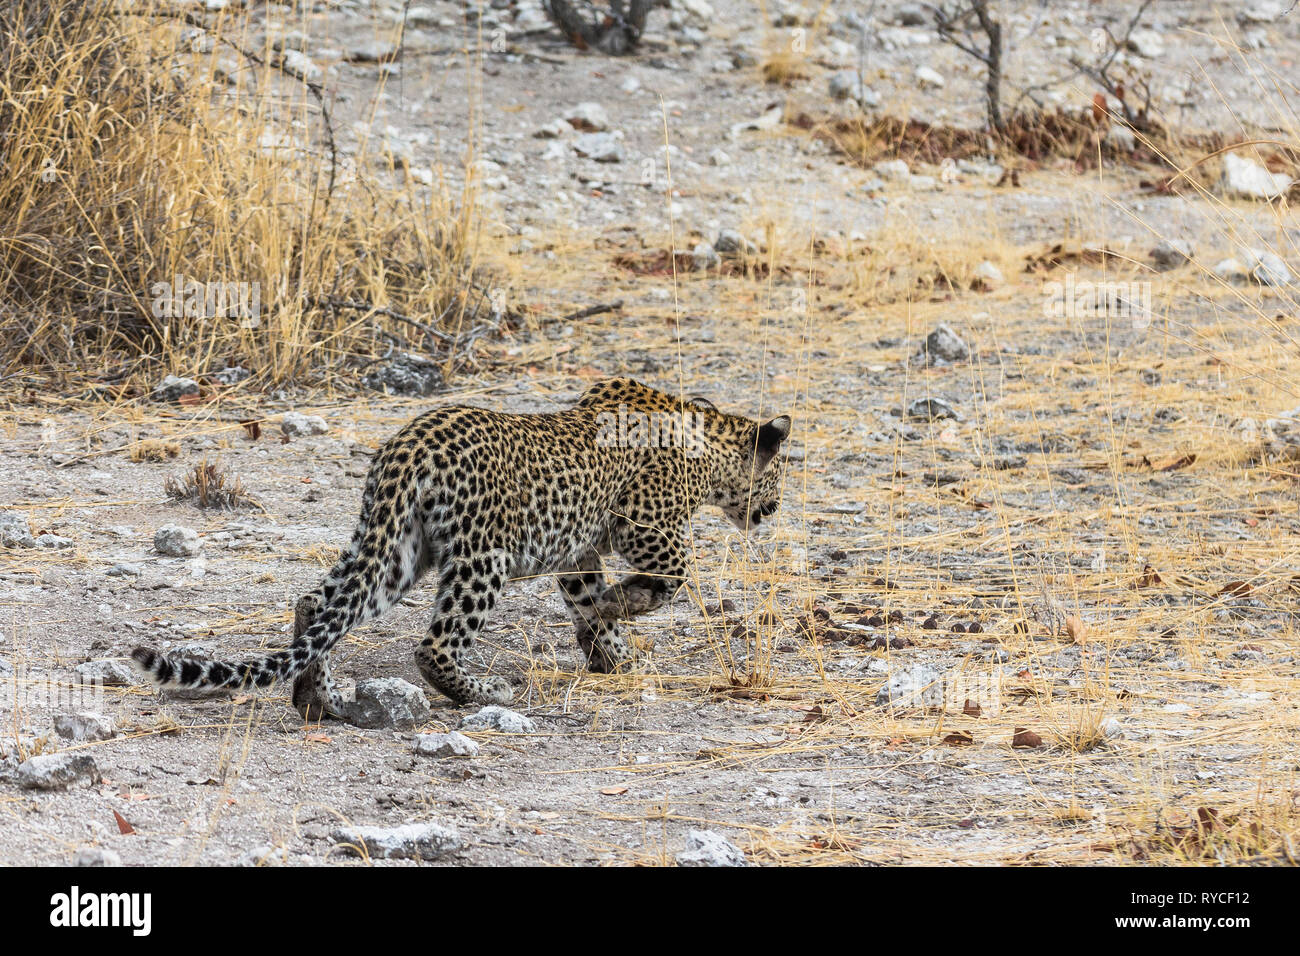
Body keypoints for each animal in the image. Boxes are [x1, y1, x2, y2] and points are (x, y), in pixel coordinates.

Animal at [137, 377, 795, 723]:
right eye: (779, 476)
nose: (774, 508)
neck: (711, 454)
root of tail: (406, 445)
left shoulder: (577, 553)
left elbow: (588, 601)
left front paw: (611, 651)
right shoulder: (648, 530)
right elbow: (674, 574)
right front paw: (619, 613)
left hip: (397, 551)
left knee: (315, 605)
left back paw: (316, 698)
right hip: (482, 558)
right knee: (432, 646)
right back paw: (485, 693)